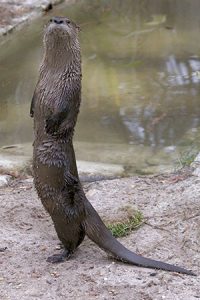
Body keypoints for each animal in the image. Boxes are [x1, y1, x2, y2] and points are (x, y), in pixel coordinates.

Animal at [30, 15, 195, 274]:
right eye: (51, 18)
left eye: (67, 20)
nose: (57, 20)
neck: (54, 77)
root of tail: (85, 205)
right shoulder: (38, 87)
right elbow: (33, 100)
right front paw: (31, 112)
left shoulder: (70, 92)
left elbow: (63, 112)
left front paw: (51, 124)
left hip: (64, 216)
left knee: (74, 240)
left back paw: (59, 255)